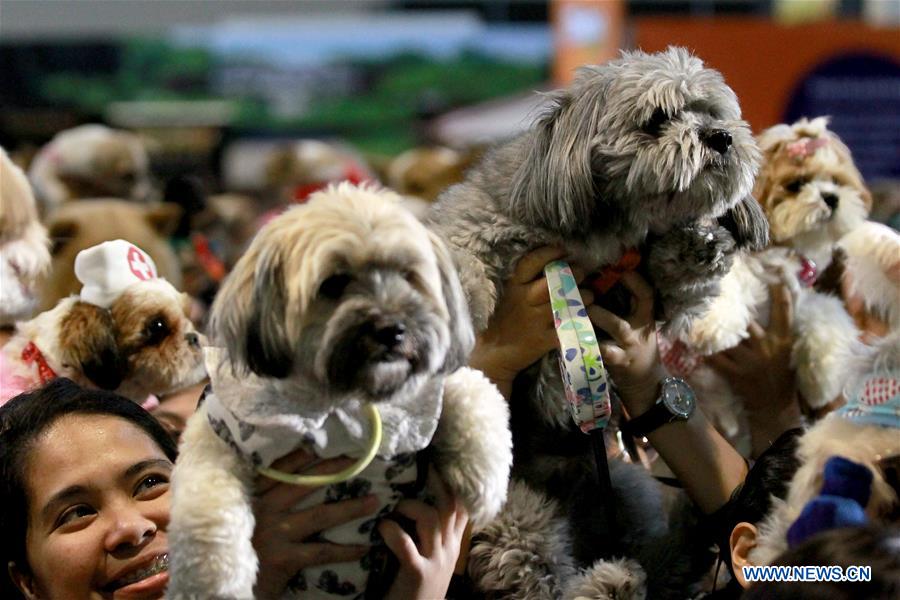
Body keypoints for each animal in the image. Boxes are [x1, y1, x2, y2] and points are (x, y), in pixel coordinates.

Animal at [428, 48, 768, 600]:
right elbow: (459, 253)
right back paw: (612, 581)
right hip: (514, 513)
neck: (609, 227)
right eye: (658, 120)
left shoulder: (649, 294)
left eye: (712, 113)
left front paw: (698, 242)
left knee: (649, 560)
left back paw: (634, 569)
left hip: (625, 492)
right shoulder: (477, 215)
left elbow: (675, 280)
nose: (720, 137)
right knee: (540, 579)